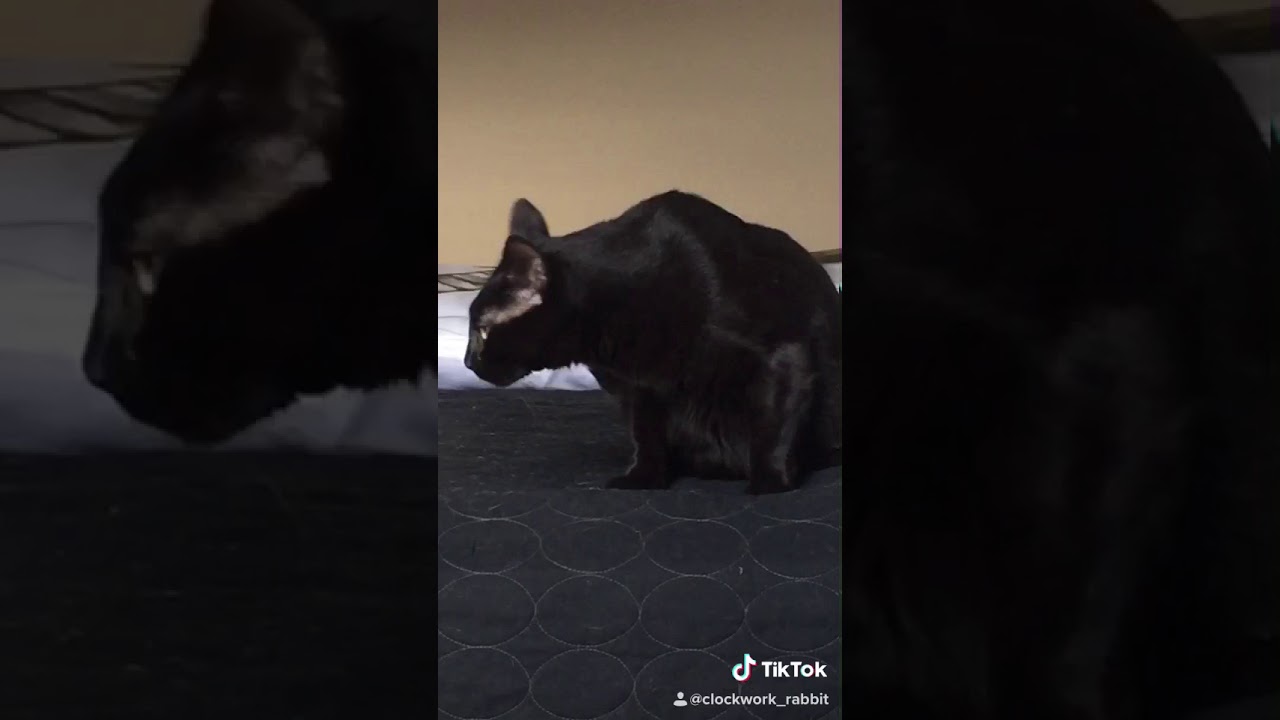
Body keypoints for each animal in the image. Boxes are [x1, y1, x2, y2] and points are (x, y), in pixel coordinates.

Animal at [464, 191, 842, 495]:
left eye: (481, 330)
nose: (468, 361)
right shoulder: (639, 390)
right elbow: (645, 436)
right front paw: (642, 479)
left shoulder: (783, 356)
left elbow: (772, 426)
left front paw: (769, 484)